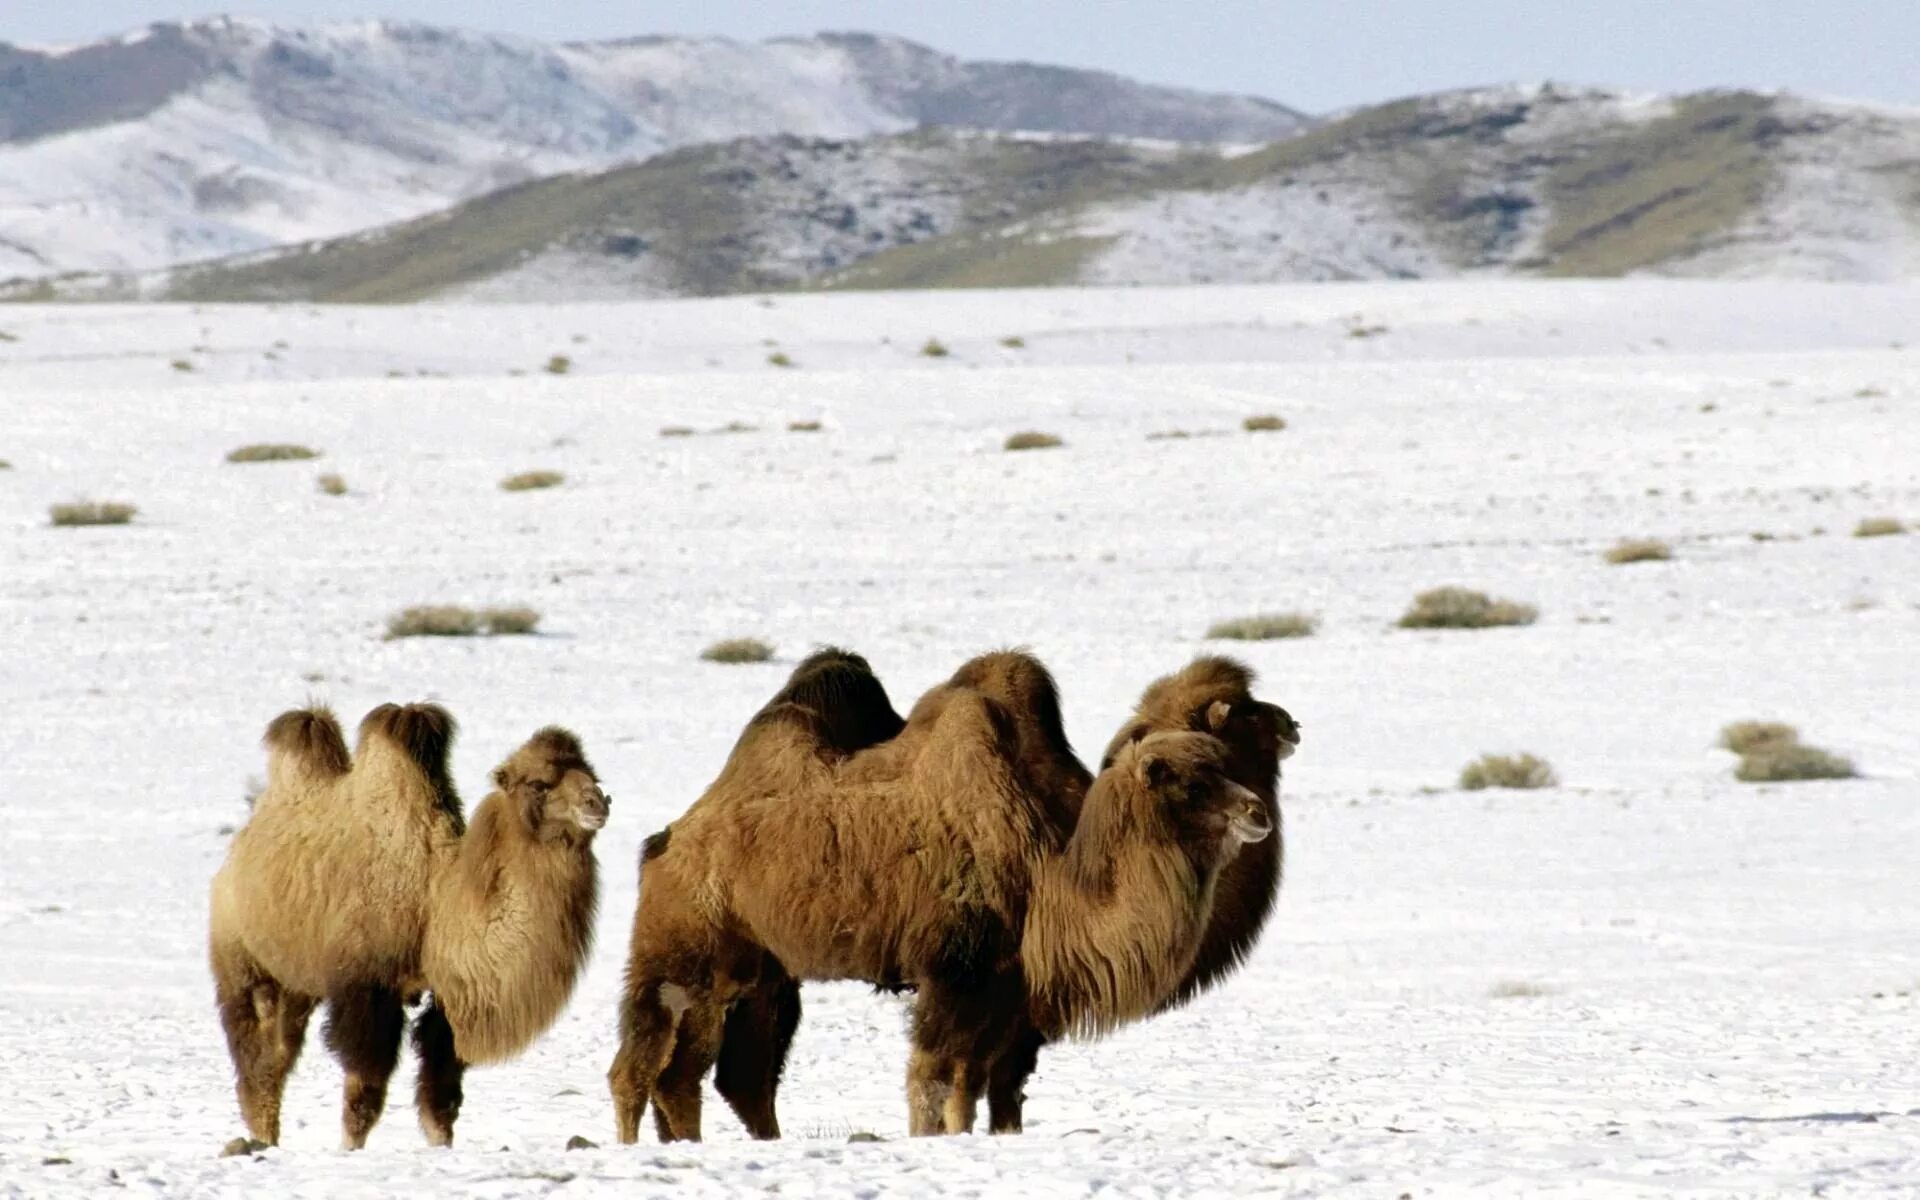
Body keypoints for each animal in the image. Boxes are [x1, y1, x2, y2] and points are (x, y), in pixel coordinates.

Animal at [209, 702, 602, 1152]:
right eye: (539, 784)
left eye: (593, 774)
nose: (597, 802)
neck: (433, 903)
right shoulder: (368, 987)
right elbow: (365, 1088)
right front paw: (350, 1149)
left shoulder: (451, 995)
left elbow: (441, 1090)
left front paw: (440, 1146)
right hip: (242, 958)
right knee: (255, 1052)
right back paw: (260, 1136)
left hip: (297, 980)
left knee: (278, 1051)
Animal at [610, 648, 1274, 1136]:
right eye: (1191, 782)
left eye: (1224, 764)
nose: (1257, 810)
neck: (1049, 875)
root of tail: (666, 840)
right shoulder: (955, 970)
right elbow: (933, 1080)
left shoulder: (1004, 989)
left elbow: (976, 1087)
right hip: (683, 950)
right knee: (645, 1069)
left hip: (759, 973)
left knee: (723, 1077)